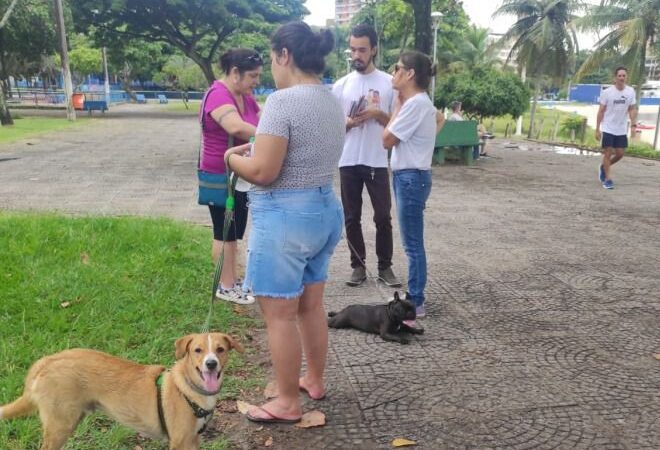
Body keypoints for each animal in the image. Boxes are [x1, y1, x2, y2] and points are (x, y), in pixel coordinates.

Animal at [0, 330, 245, 450]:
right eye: (197, 350)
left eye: (220, 349)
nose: (211, 364)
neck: (189, 388)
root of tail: (46, 361)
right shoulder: (180, 442)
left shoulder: (193, 440)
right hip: (60, 427)